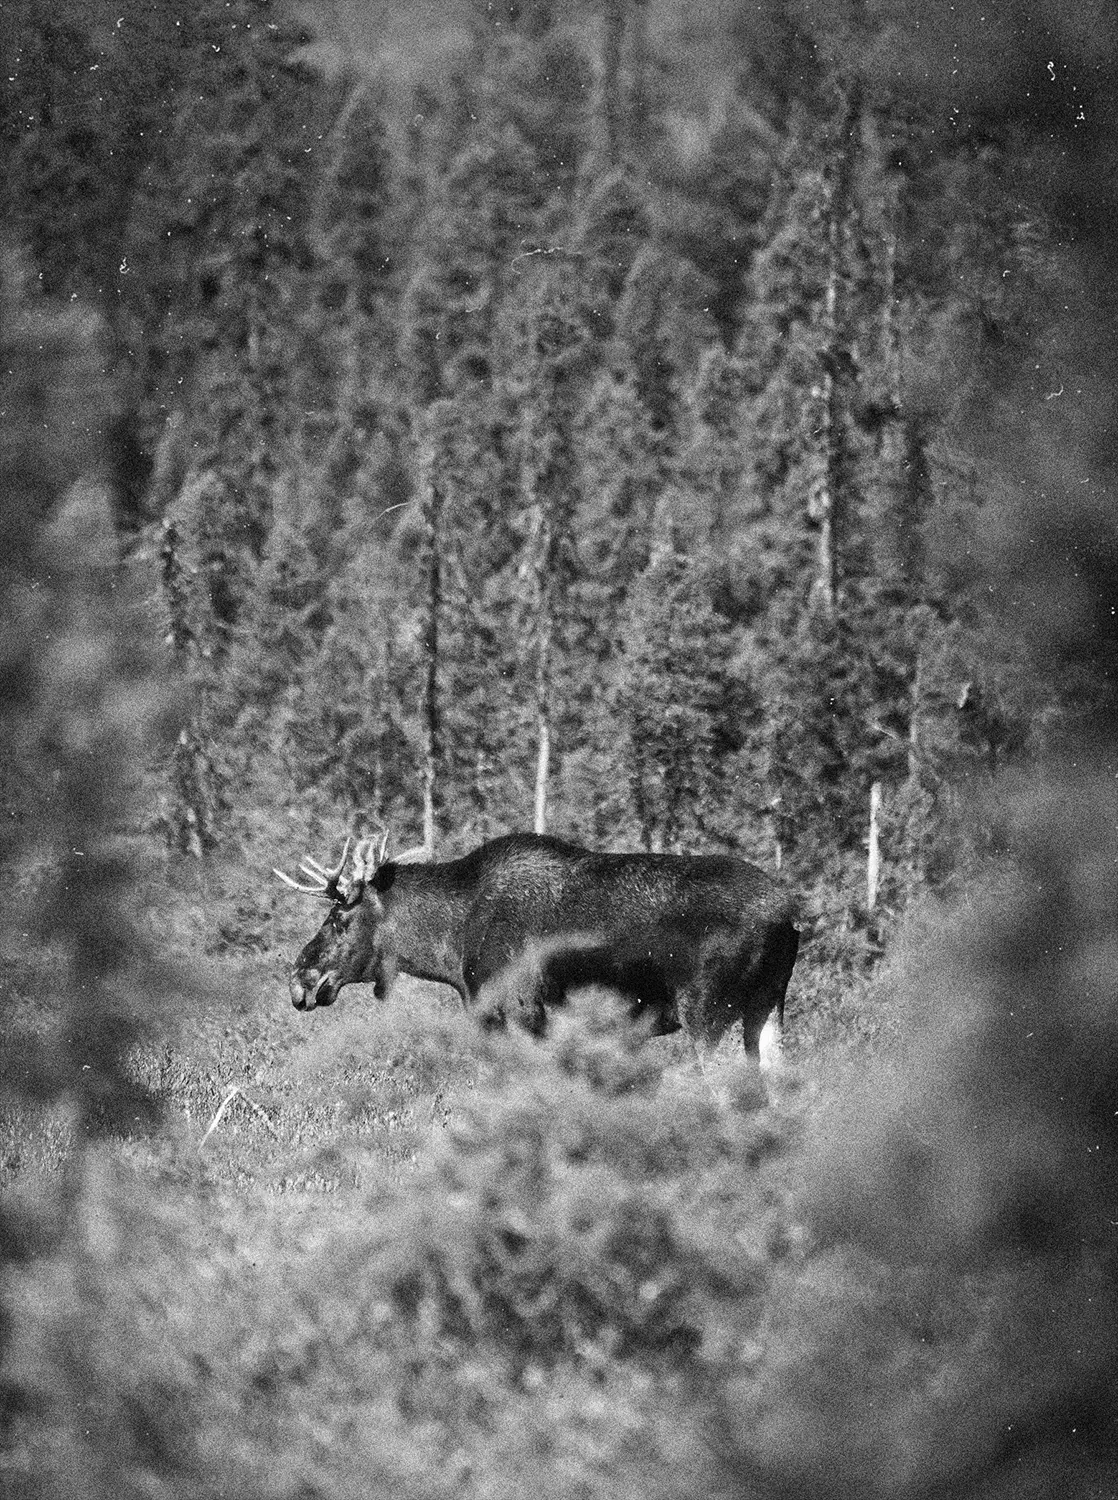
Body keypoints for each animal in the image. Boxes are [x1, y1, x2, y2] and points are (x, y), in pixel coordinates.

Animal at [276, 831, 800, 1066]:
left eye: (338, 918)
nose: (299, 980)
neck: (450, 945)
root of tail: (787, 917)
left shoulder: (518, 1017)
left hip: (706, 1012)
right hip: (767, 1005)